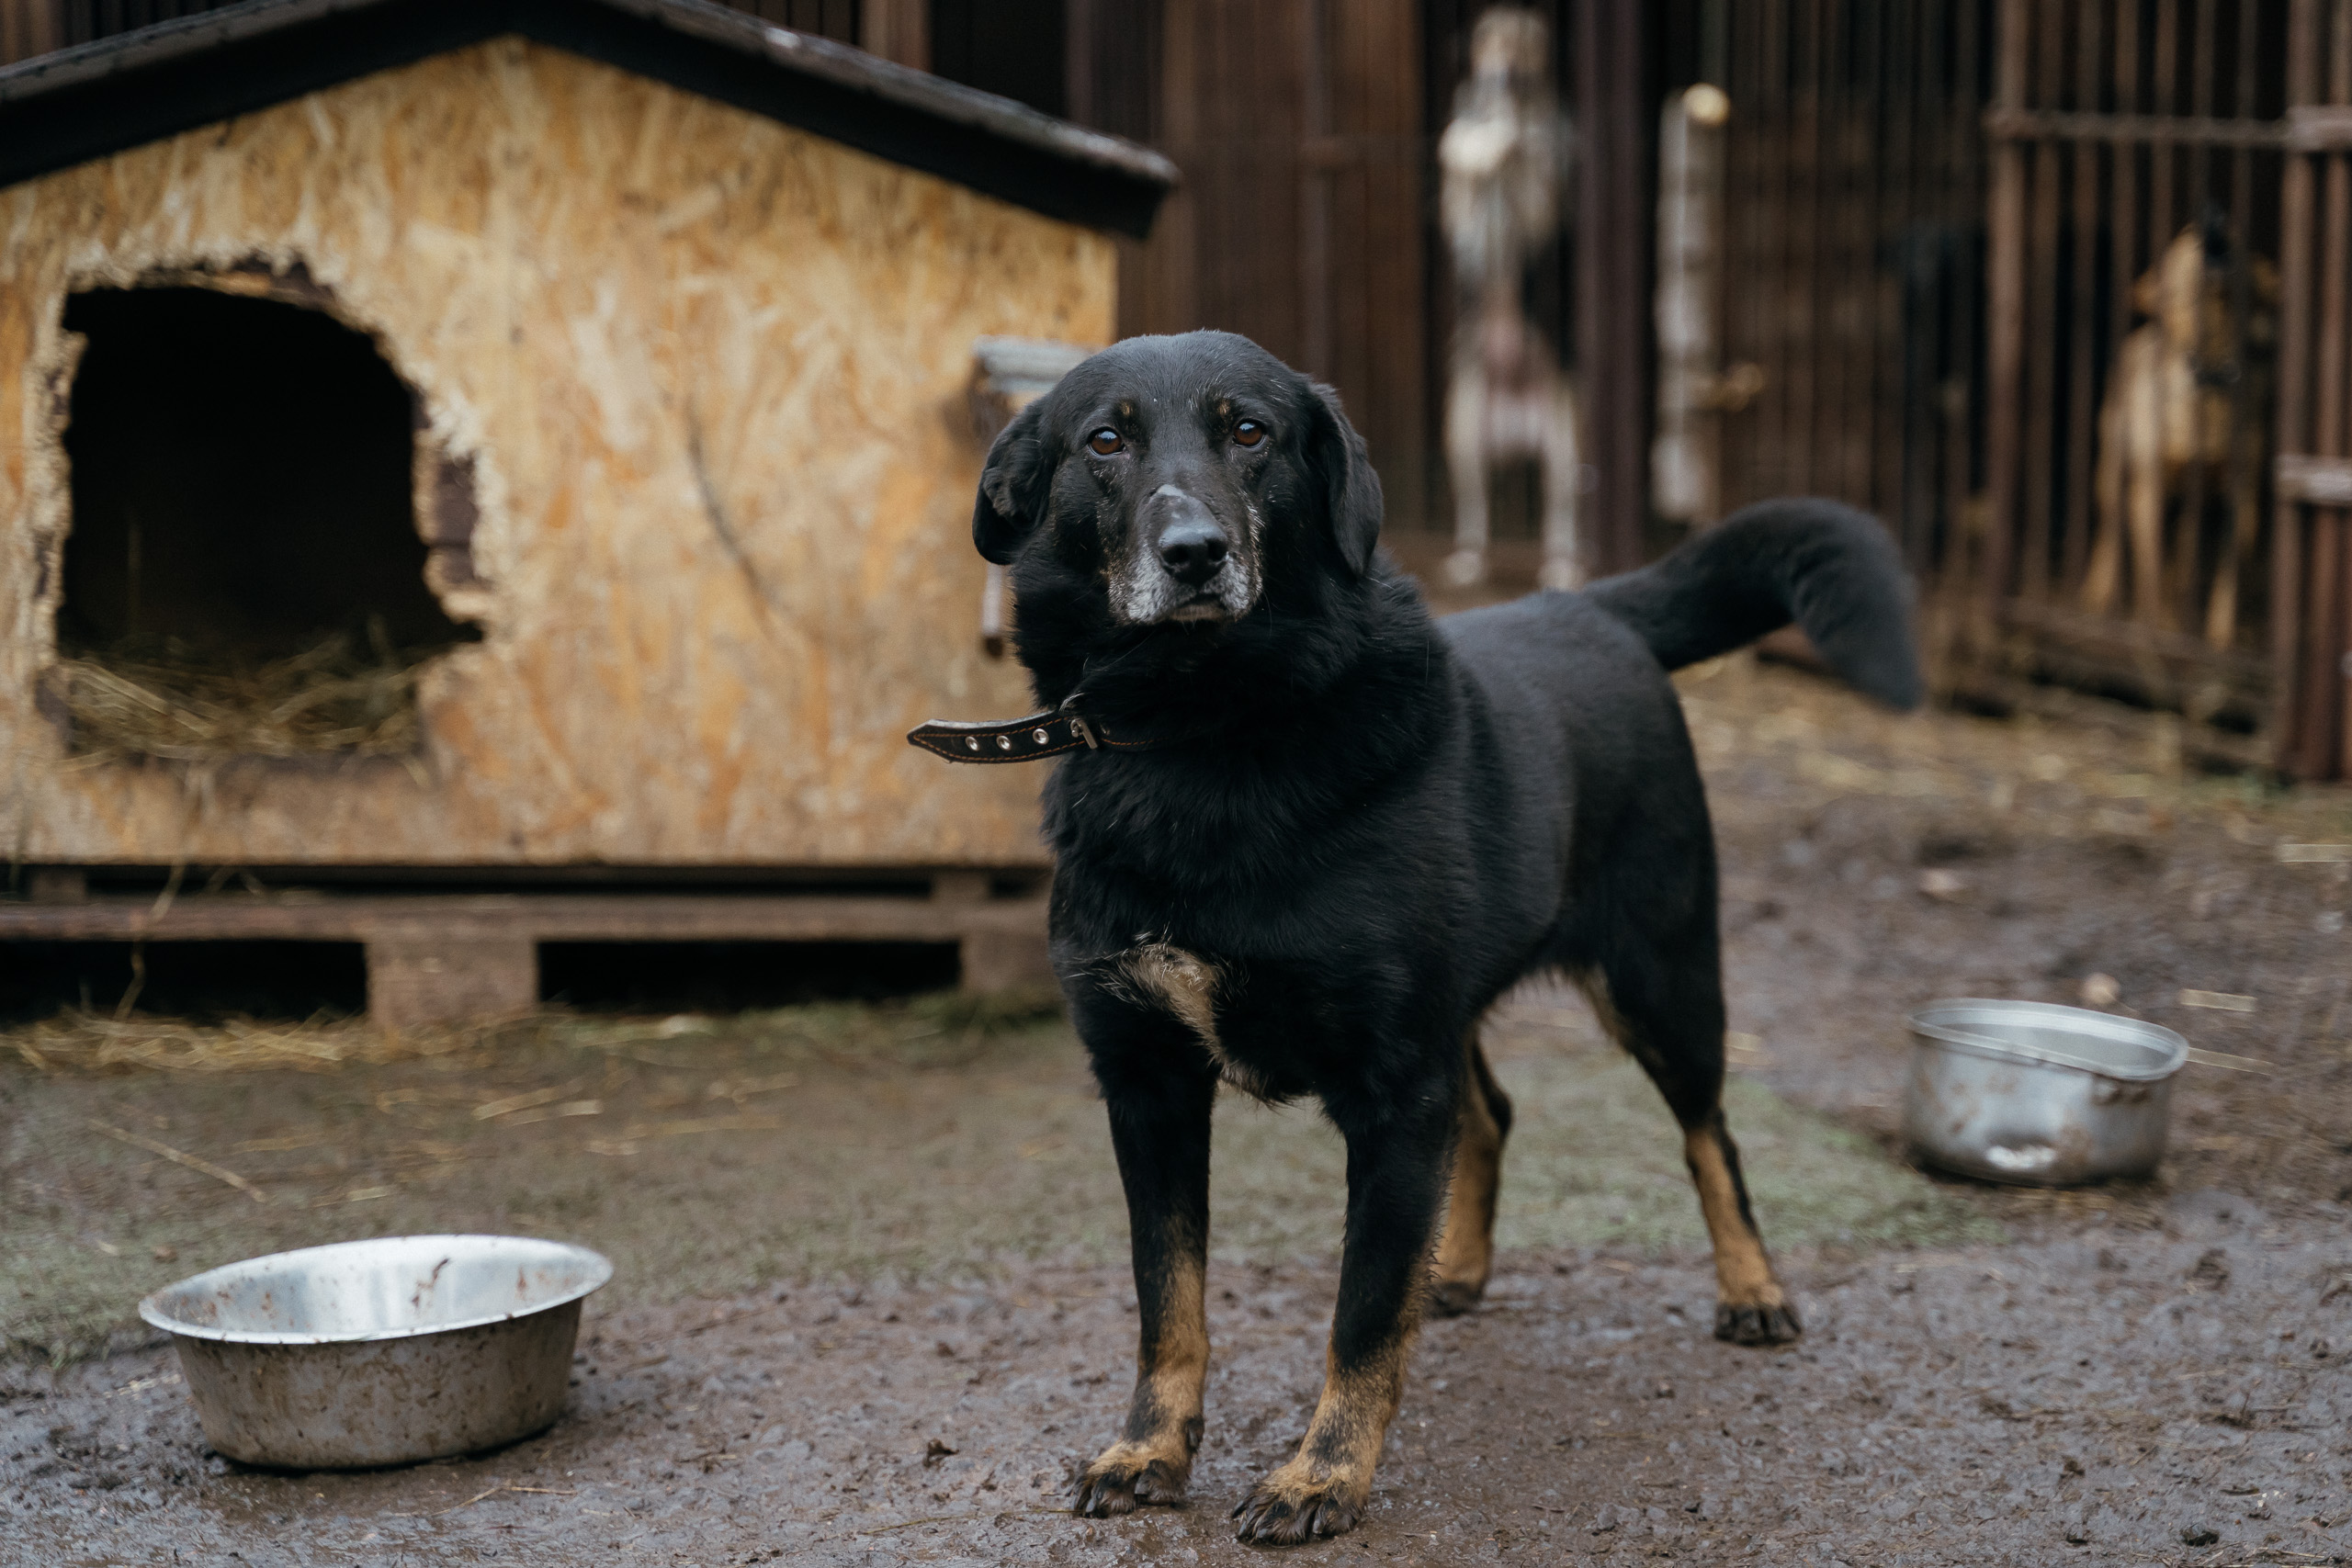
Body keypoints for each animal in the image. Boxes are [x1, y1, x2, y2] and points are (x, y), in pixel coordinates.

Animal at [955, 329, 1928, 1541]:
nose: (1194, 554)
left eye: (1250, 432)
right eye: (1103, 442)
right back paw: (1453, 1267)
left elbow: (1361, 1314)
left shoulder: (1390, 1089)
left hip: (1661, 980)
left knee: (1710, 1134)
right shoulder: (1147, 1082)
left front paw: (1322, 1475)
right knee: (1491, 1113)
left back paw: (1751, 1289)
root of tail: (1593, 609)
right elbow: (1165, 1296)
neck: (1200, 728)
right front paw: (1148, 1448)